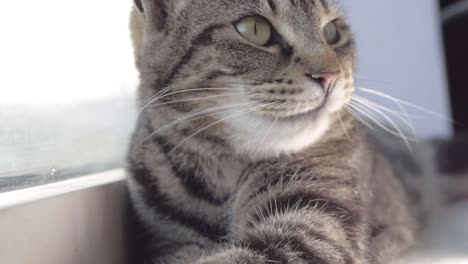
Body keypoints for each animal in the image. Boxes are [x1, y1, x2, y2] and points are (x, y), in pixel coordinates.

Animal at [127, 1, 420, 262]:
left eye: (332, 32)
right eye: (255, 28)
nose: (330, 76)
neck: (224, 172)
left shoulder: (313, 222)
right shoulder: (173, 241)